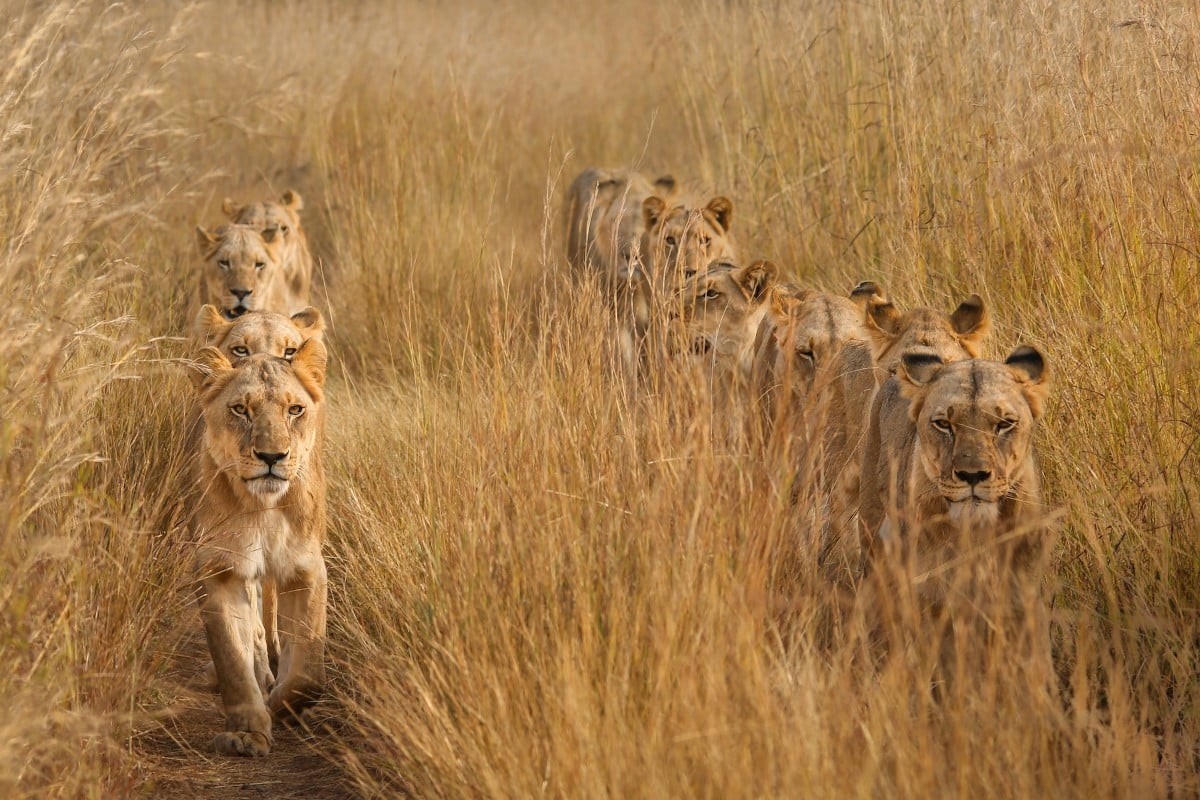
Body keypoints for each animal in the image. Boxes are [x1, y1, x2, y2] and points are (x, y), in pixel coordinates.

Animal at [188, 340, 328, 753]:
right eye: (240, 410)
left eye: (294, 410)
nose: (272, 457)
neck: (264, 507)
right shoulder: (220, 567)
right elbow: (233, 657)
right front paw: (248, 731)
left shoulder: (306, 567)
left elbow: (309, 671)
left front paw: (283, 706)